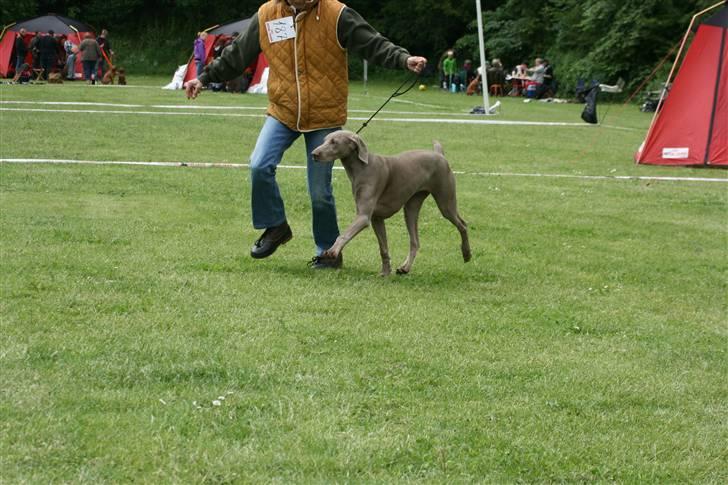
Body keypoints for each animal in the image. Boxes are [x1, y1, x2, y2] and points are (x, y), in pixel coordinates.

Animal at [312, 130, 472, 274]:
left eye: (334, 142)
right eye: (324, 140)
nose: (313, 154)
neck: (362, 168)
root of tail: (439, 154)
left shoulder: (364, 217)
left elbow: (343, 234)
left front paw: (332, 251)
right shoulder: (377, 219)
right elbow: (383, 248)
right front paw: (385, 272)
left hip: (446, 202)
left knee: (462, 225)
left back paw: (467, 253)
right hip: (411, 207)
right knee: (415, 241)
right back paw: (405, 268)